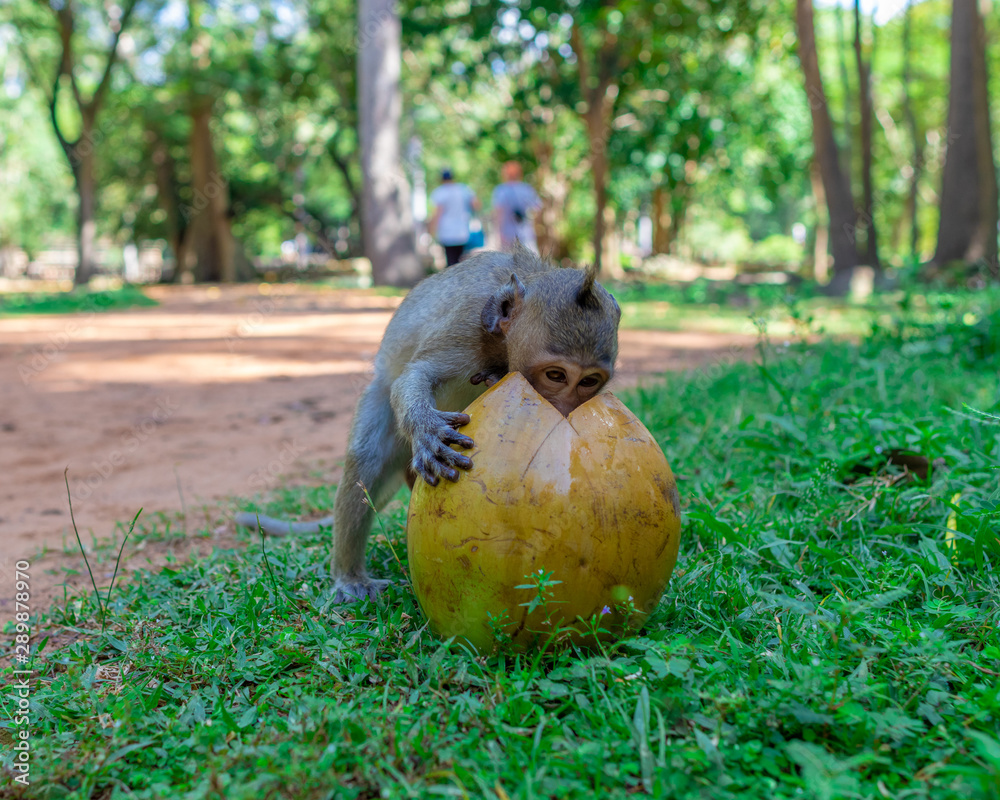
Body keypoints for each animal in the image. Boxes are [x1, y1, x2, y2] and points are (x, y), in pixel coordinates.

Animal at [235, 243, 621, 603]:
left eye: (589, 382)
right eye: (556, 375)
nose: (564, 407)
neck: (503, 343)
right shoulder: (465, 326)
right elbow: (415, 376)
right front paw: (427, 431)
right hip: (381, 403)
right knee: (367, 458)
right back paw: (349, 577)